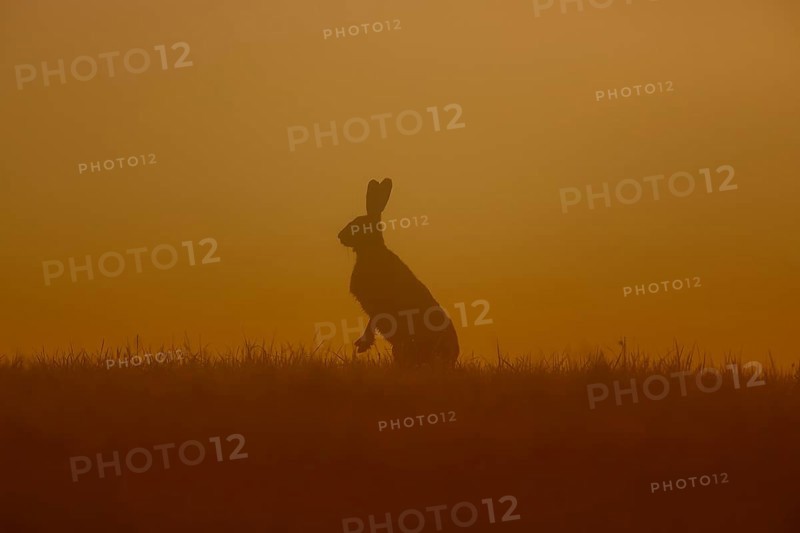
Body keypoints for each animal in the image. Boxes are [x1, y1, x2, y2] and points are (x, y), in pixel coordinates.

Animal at [337, 178, 459, 367]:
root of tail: (453, 356)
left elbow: (372, 322)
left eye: (357, 224)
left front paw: (362, 345)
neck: (371, 250)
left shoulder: (378, 304)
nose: (340, 236)